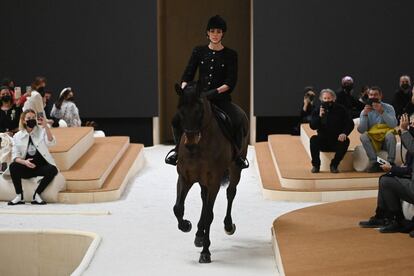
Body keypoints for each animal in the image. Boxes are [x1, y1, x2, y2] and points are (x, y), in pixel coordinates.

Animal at [172, 81, 249, 264]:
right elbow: (178, 208)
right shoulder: (184, 178)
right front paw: (186, 225)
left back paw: (228, 225)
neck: (198, 148)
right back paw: (199, 234)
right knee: (203, 198)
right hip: (202, 181)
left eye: (199, 109)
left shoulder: (214, 181)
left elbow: (209, 215)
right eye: (180, 109)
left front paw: (206, 253)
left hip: (235, 168)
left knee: (230, 193)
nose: (190, 141)